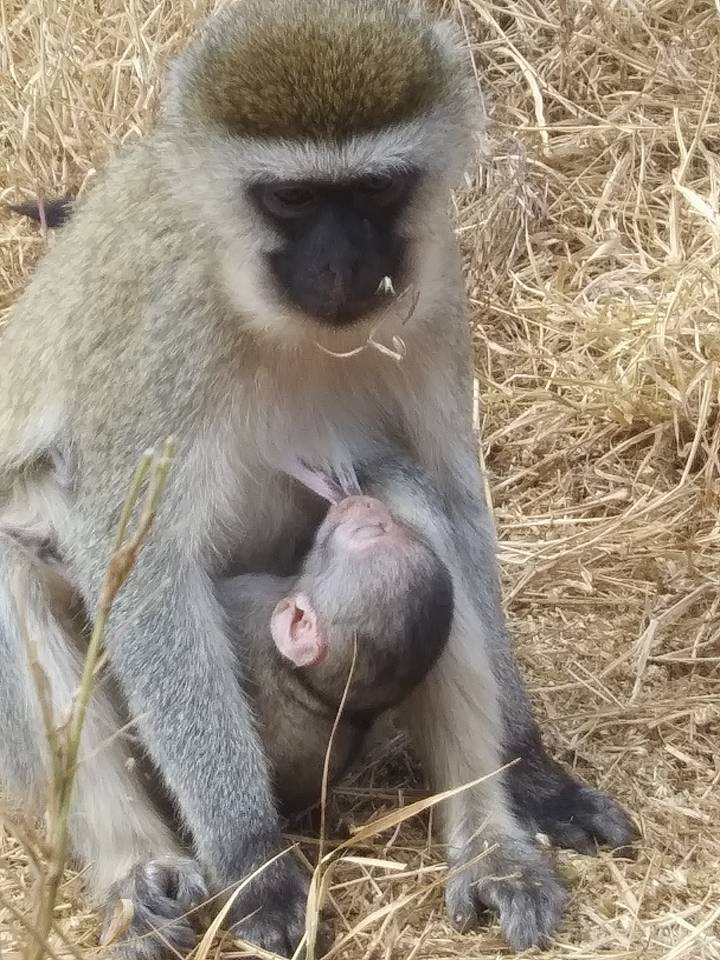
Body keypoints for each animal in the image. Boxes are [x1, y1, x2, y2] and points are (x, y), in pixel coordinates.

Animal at [0, 1, 639, 956]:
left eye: (374, 189)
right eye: (293, 198)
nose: (343, 267)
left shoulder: (435, 283)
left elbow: (455, 500)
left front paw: (530, 768)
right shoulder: (163, 331)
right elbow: (142, 571)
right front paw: (253, 862)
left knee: (402, 488)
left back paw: (489, 843)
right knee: (15, 563)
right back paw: (132, 874)